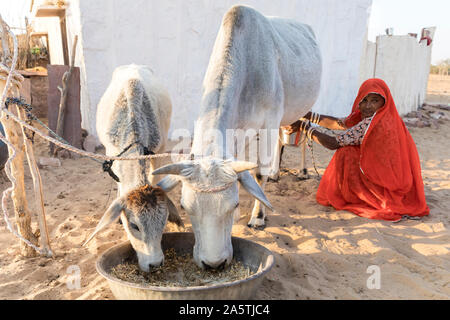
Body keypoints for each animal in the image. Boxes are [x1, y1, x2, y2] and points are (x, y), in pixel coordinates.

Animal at [153, 5, 322, 270]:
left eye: (230, 205)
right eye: (184, 207)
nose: (213, 264)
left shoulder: (269, 121)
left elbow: (259, 173)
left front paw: (258, 216)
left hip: (304, 108)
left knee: (303, 139)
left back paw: (303, 171)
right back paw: (276, 173)